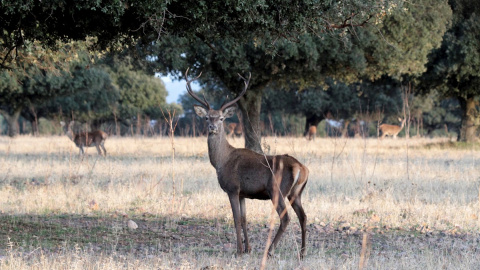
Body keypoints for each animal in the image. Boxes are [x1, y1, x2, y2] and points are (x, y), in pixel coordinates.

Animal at [186, 68, 310, 258]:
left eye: (221, 118)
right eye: (207, 117)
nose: (212, 127)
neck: (222, 161)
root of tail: (301, 168)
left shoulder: (232, 188)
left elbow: (236, 218)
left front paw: (238, 250)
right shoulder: (243, 193)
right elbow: (244, 219)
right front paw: (247, 249)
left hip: (277, 189)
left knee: (285, 218)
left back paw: (269, 251)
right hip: (296, 193)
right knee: (303, 217)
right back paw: (302, 253)